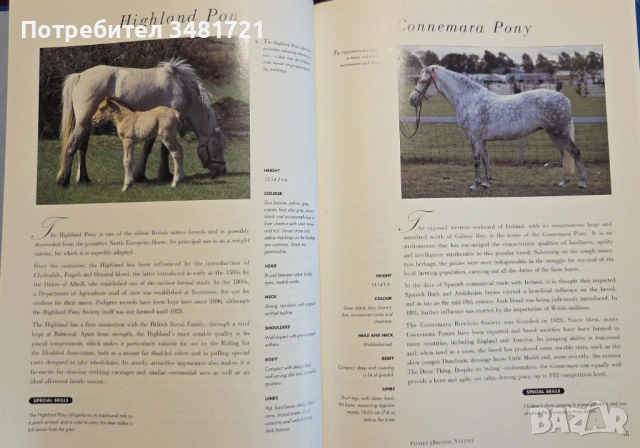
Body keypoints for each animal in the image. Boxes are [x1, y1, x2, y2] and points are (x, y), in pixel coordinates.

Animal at [56, 58, 227, 187]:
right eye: (218, 147)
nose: (222, 171)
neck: (181, 87)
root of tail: (79, 76)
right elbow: (164, 150)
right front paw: (165, 175)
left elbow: (148, 148)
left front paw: (140, 175)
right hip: (83, 123)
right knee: (72, 145)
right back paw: (64, 180)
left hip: (88, 124)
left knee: (82, 148)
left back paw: (84, 179)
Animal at [408, 65, 587, 191]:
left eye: (423, 81)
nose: (412, 100)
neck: (469, 99)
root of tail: (564, 98)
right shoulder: (482, 140)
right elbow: (486, 159)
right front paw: (487, 183)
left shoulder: (474, 138)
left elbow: (476, 160)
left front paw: (475, 184)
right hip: (554, 134)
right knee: (564, 154)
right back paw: (564, 182)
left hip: (560, 133)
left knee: (575, 152)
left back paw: (582, 183)